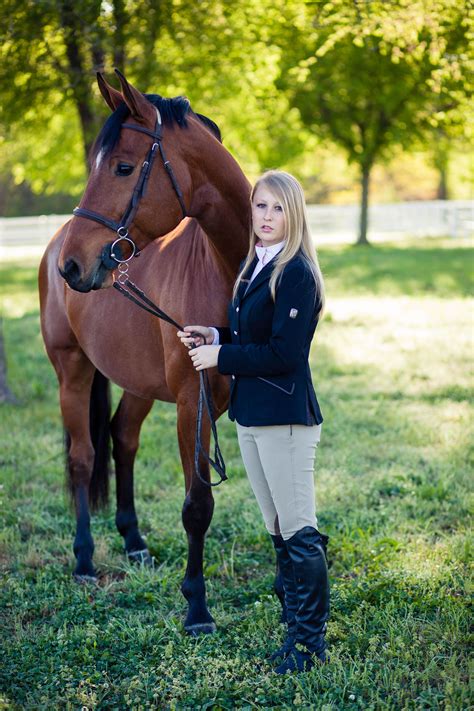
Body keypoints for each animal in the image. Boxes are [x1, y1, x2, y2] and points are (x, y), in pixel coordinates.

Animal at [38, 72, 270, 636]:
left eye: (123, 167)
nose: (73, 266)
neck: (226, 271)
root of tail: (52, 242)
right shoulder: (192, 403)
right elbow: (198, 504)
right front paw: (197, 608)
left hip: (138, 382)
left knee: (122, 439)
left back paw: (134, 542)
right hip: (72, 372)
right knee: (83, 457)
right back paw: (84, 559)